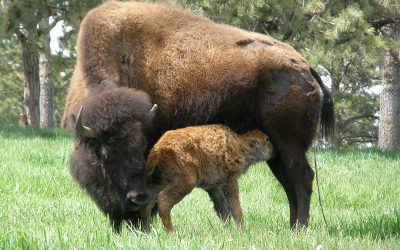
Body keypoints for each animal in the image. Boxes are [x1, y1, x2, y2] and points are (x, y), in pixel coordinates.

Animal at [145, 126, 274, 233]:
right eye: (267, 139)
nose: (274, 150)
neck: (240, 145)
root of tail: (158, 148)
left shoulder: (214, 188)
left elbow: (223, 210)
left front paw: (227, 231)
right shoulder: (230, 181)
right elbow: (235, 207)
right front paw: (242, 231)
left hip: (160, 182)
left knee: (149, 200)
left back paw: (147, 231)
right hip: (185, 182)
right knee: (163, 200)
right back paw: (171, 232)